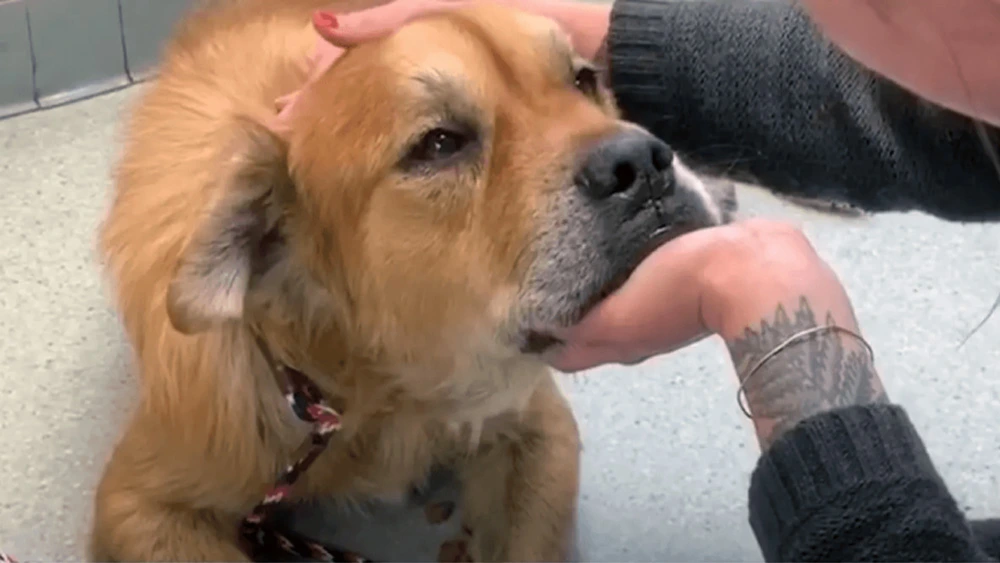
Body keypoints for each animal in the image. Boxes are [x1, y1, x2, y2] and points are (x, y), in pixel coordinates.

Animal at [92, 0, 736, 560]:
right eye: (440, 143)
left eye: (582, 81)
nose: (642, 163)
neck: (380, 394)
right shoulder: (139, 504)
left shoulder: (538, 429)